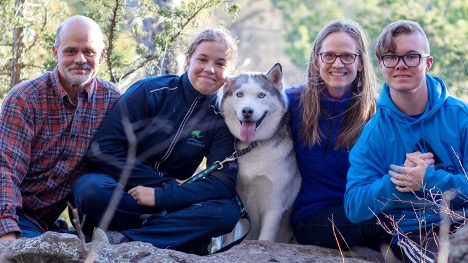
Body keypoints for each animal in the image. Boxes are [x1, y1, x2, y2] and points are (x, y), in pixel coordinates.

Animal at [219, 63, 300, 243]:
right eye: (240, 94)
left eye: (261, 95)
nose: (247, 111)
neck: (253, 147)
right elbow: (228, 239)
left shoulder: (274, 206)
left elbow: (265, 239)